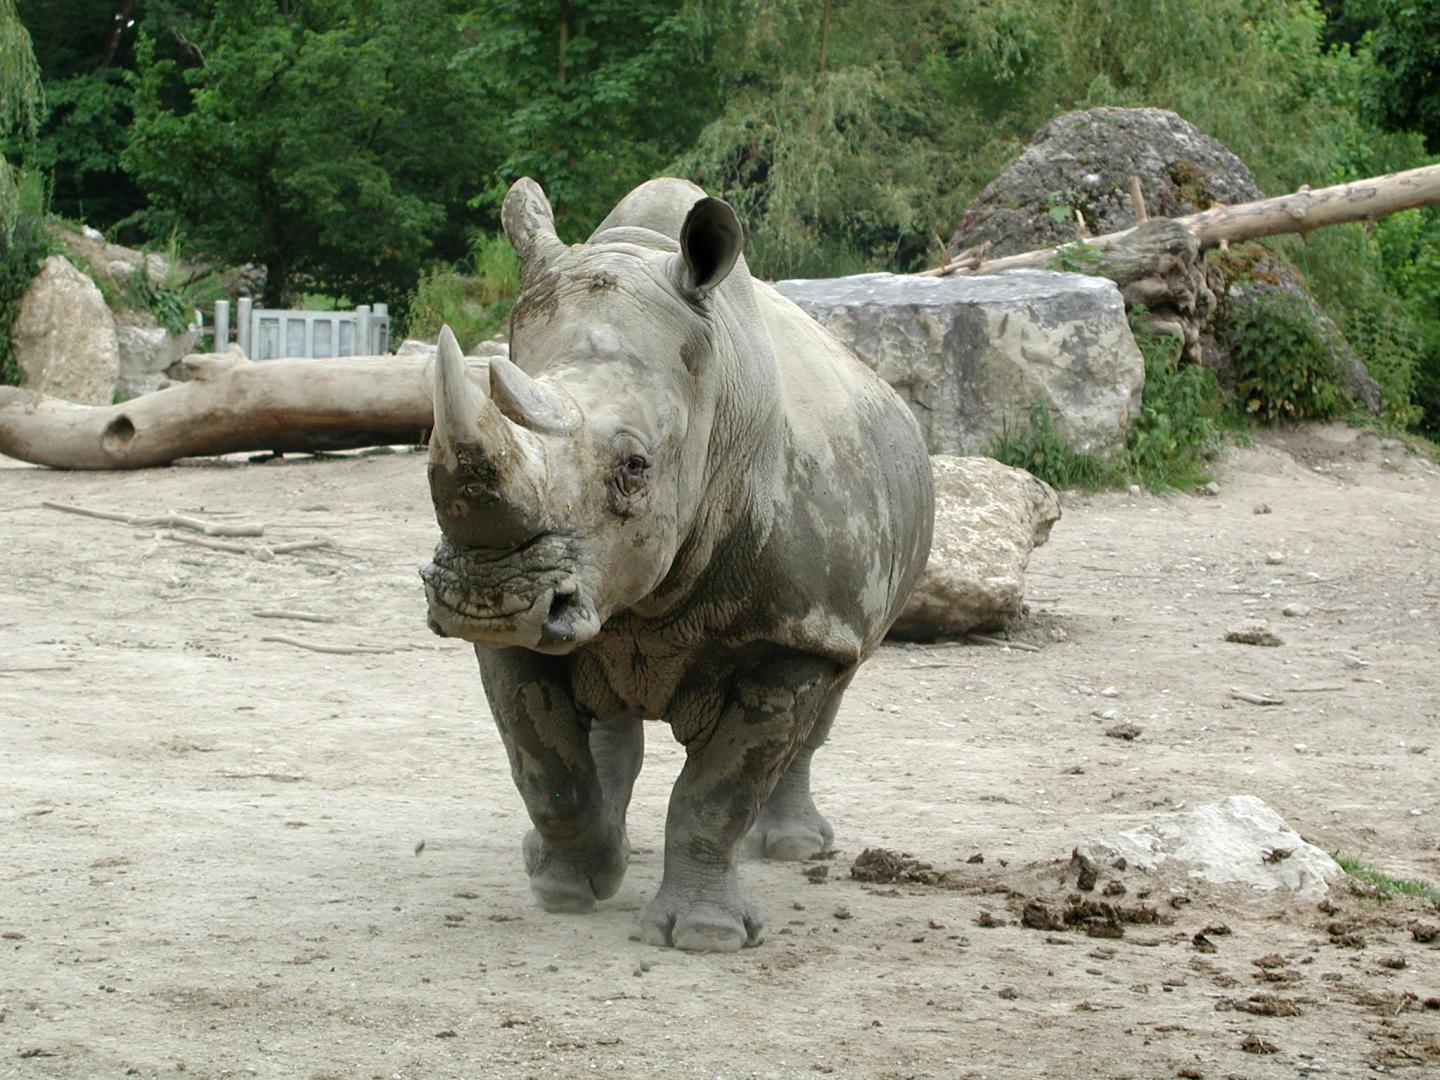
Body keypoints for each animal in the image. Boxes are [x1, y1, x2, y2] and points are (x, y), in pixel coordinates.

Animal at [420, 177, 933, 951]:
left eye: (636, 467)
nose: (490, 596)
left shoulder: (799, 628)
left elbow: (719, 791)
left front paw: (705, 937)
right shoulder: (518, 636)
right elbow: (546, 766)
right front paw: (571, 887)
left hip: (851, 598)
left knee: (826, 706)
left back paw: (795, 849)